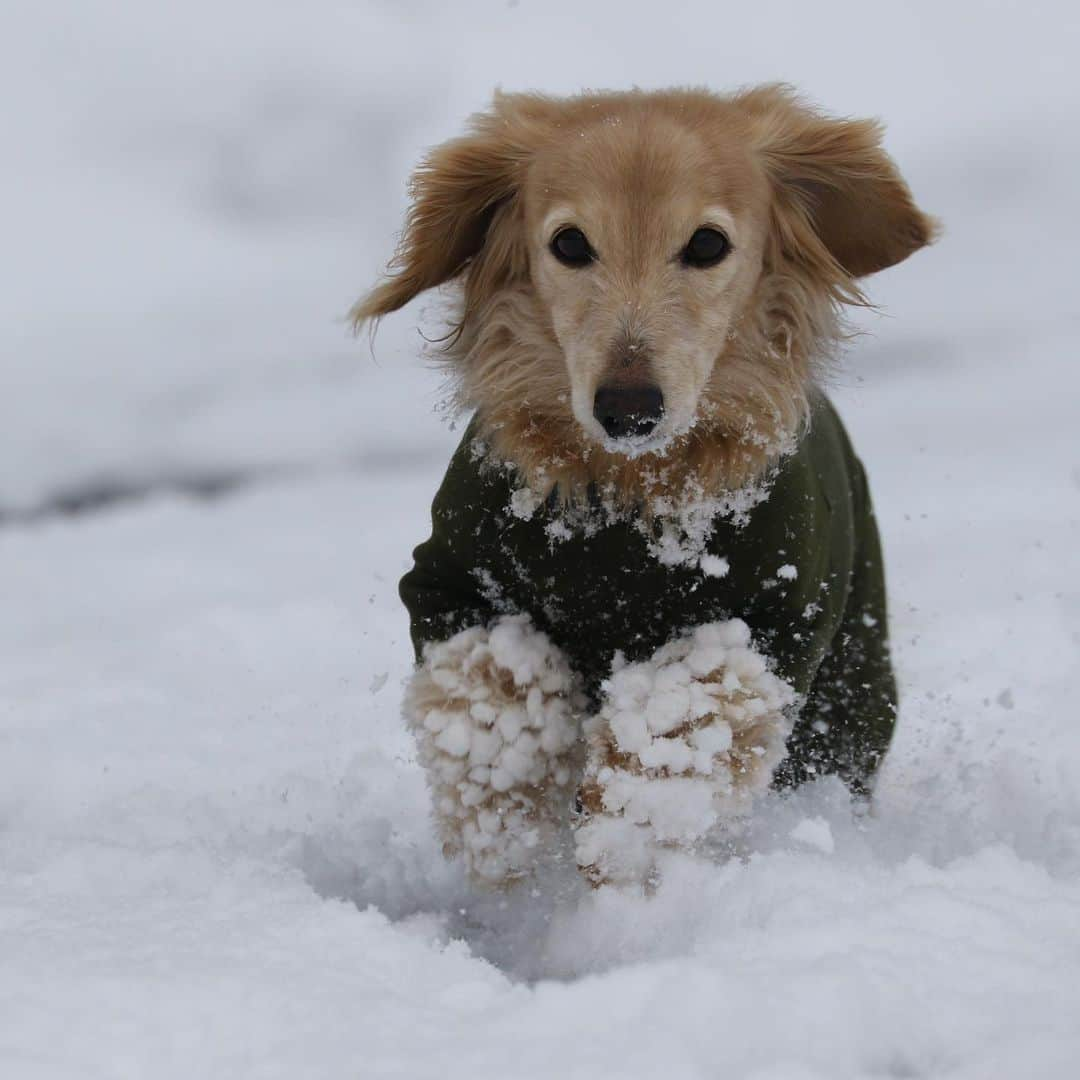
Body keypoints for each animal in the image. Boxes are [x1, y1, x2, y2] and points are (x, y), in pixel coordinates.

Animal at [354, 88, 937, 889]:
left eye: (707, 245)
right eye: (570, 244)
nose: (628, 408)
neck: (633, 490)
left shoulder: (774, 619)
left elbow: (690, 711)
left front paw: (623, 836)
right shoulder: (449, 583)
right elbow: (489, 682)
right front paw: (507, 823)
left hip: (851, 700)